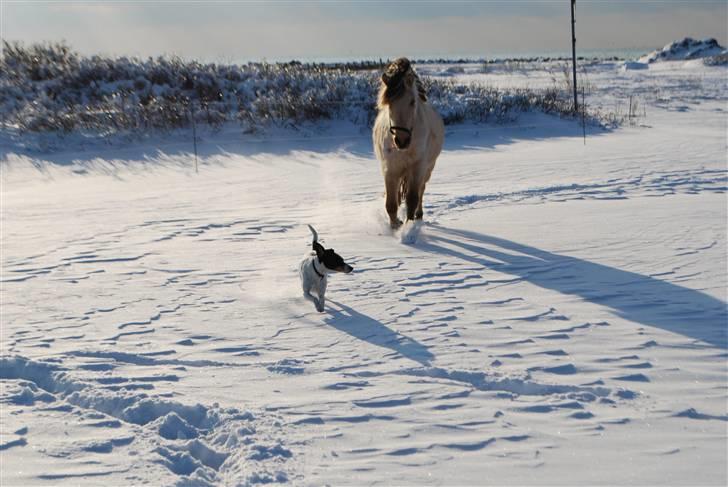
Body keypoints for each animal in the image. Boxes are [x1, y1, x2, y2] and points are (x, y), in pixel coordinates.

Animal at [372, 58, 446, 230]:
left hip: (428, 168)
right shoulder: (390, 169)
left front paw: (408, 226)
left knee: (421, 190)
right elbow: (391, 204)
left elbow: (412, 199)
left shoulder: (418, 167)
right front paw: (395, 226)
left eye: (412, 102)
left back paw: (419, 215)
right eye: (389, 103)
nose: (401, 140)